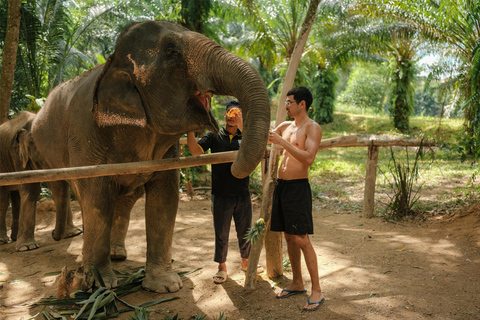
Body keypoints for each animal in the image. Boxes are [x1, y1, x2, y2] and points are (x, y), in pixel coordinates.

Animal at [0, 111, 81, 251]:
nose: (52, 233)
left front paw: (73, 234)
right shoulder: (18, 156)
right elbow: (31, 190)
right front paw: (27, 247)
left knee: (16, 197)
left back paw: (14, 238)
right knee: (3, 199)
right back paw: (3, 241)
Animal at [31, 21, 270, 294]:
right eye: (170, 51)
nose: (234, 163)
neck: (112, 62)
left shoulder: (167, 152)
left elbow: (165, 199)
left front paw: (165, 286)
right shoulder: (86, 135)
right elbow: (96, 199)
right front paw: (100, 286)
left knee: (124, 199)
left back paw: (117, 254)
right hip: (45, 152)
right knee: (65, 188)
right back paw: (67, 243)